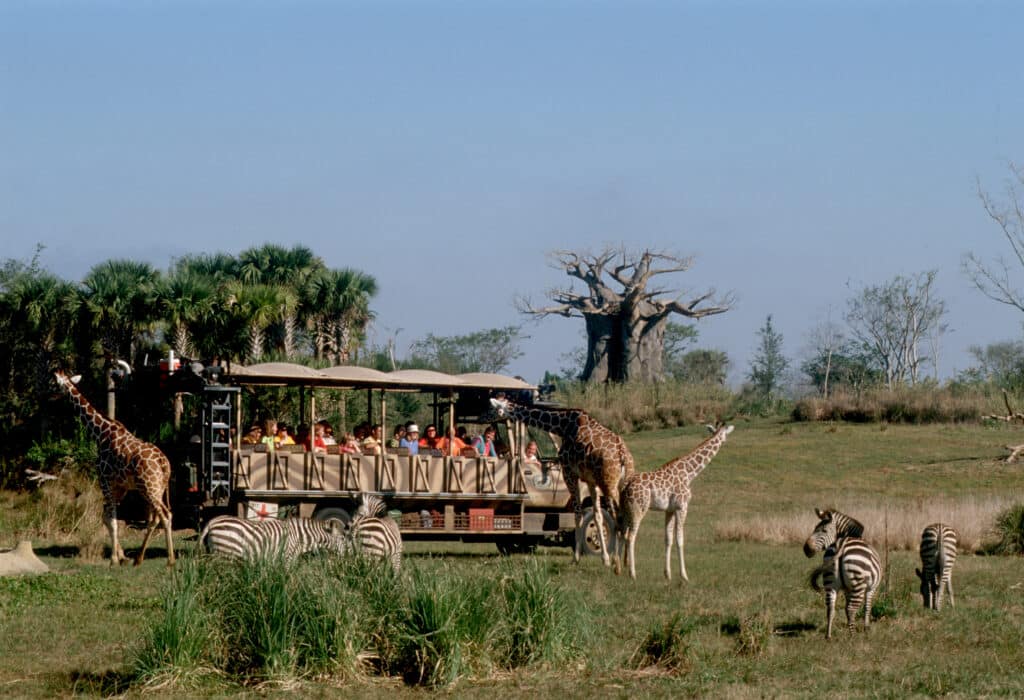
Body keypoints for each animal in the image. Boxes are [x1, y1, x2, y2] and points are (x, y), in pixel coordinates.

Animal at [54, 371, 175, 567]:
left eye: (56, 384)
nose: (52, 396)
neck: (100, 432)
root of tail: (164, 464)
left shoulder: (104, 480)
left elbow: (112, 519)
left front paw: (113, 559)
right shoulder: (120, 486)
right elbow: (107, 517)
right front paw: (122, 556)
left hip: (149, 488)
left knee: (165, 515)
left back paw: (170, 560)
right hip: (156, 488)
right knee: (158, 517)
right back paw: (139, 558)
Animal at [489, 397, 634, 568]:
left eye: (494, 408)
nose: (484, 418)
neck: (563, 425)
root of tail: (623, 455)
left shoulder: (569, 472)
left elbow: (577, 515)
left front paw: (576, 558)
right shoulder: (590, 480)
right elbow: (597, 515)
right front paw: (604, 558)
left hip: (608, 483)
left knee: (618, 516)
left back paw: (618, 561)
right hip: (621, 482)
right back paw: (625, 561)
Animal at [617, 423, 734, 581]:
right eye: (725, 433)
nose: (725, 441)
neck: (690, 473)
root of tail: (626, 485)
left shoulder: (669, 510)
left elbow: (668, 539)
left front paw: (668, 574)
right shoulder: (682, 507)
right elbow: (680, 540)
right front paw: (684, 575)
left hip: (625, 509)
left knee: (621, 533)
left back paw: (617, 570)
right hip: (638, 508)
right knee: (630, 537)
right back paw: (633, 574)